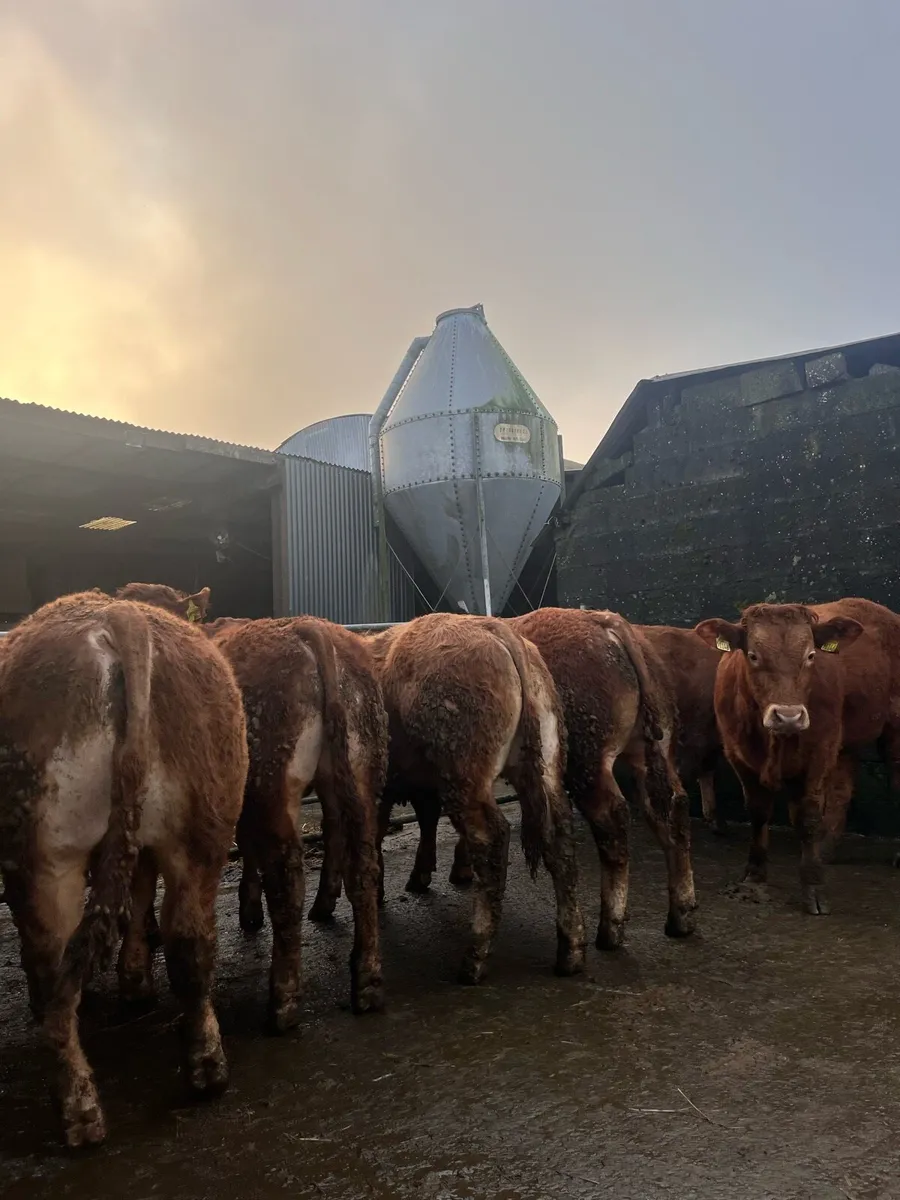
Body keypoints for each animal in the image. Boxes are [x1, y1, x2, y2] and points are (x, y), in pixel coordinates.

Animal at [0, 591, 247, 1148]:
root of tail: (120, 615)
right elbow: (137, 896)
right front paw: (133, 980)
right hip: (198, 828)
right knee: (186, 945)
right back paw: (200, 1071)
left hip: (48, 855)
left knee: (55, 959)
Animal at [368, 613, 586, 984]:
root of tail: (497, 629)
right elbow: (420, 820)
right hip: (545, 762)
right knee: (560, 836)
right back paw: (570, 950)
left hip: (462, 771)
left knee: (492, 838)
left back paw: (475, 957)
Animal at [694, 599, 895, 914]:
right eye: (753, 655)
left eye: (811, 655)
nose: (788, 716)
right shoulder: (738, 754)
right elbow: (758, 812)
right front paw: (754, 876)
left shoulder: (819, 752)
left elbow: (807, 816)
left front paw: (813, 885)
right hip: (845, 742)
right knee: (842, 790)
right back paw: (826, 849)